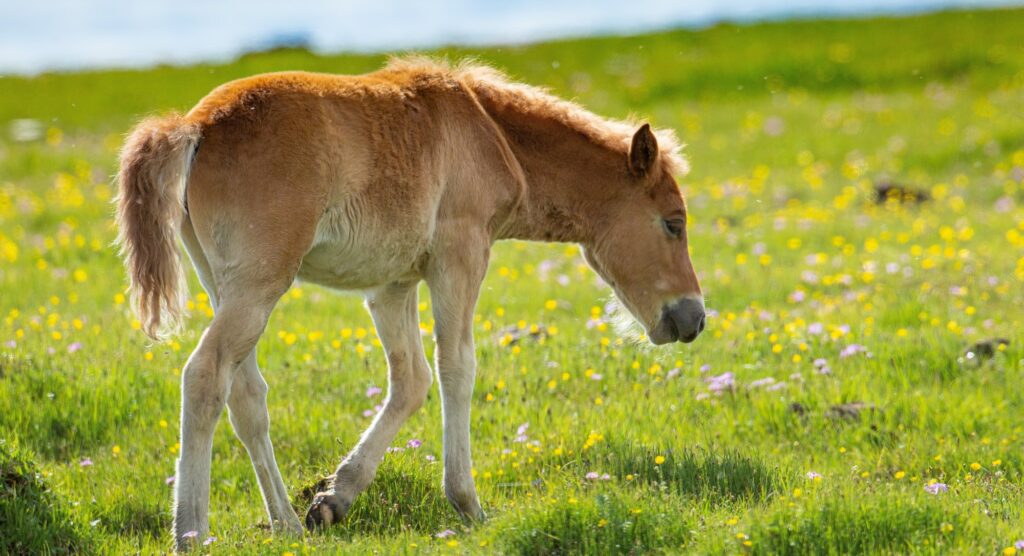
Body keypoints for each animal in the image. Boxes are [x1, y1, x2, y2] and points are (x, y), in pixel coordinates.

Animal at [114, 56, 704, 548]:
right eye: (673, 223)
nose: (694, 317)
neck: (491, 134)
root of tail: (193, 127)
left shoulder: (392, 285)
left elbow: (411, 381)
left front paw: (334, 498)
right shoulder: (460, 255)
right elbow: (456, 367)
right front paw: (468, 504)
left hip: (224, 284)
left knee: (246, 395)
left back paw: (285, 523)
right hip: (259, 285)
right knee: (205, 375)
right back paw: (190, 532)